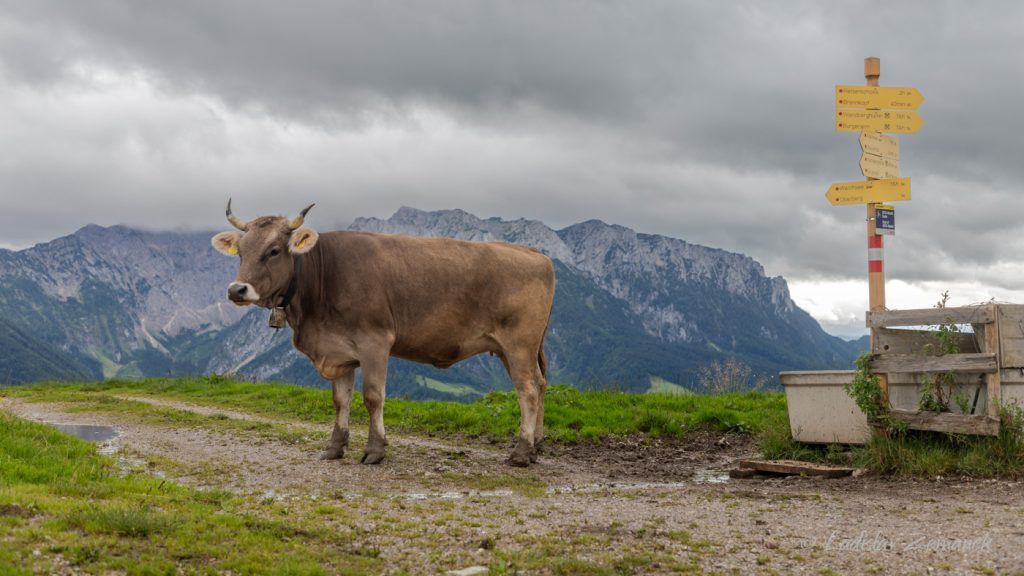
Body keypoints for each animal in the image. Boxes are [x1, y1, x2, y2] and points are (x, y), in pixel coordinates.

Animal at [210, 199, 557, 463]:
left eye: (274, 250)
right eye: (241, 251)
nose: (237, 290)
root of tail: (534, 253)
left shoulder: (374, 342)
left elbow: (373, 397)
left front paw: (375, 450)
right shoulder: (338, 351)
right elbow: (341, 400)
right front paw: (335, 447)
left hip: (518, 343)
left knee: (527, 388)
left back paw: (522, 453)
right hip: (511, 348)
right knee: (540, 384)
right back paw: (537, 443)